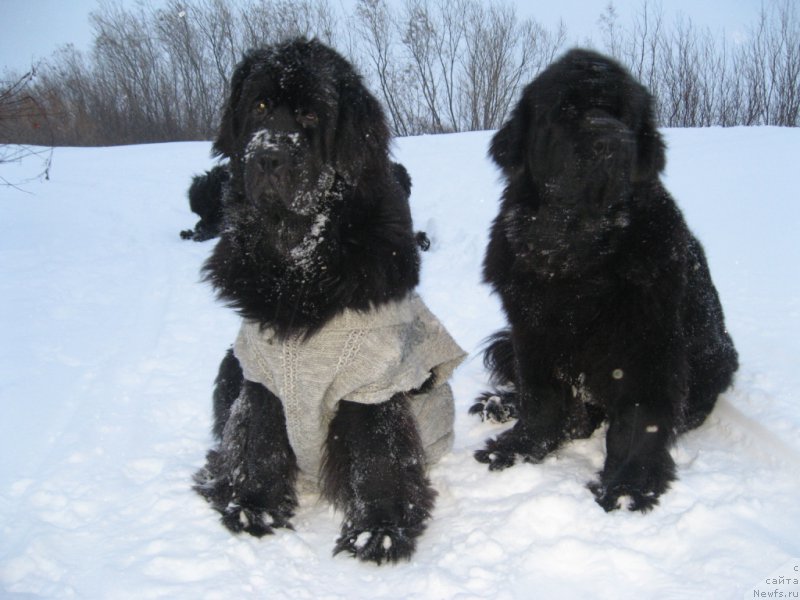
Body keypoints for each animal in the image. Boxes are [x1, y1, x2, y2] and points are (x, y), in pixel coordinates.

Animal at [191, 37, 466, 564]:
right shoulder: (261, 368)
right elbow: (256, 435)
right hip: (228, 362)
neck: (300, 263)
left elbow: (378, 457)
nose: (268, 156)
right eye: (259, 106)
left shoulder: (373, 380)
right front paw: (252, 504)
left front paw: (378, 529)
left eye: (311, 114)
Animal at [468, 49, 736, 512]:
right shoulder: (531, 331)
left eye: (625, 115)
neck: (577, 251)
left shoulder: (647, 345)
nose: (611, 140)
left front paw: (628, 485)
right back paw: (500, 402)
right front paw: (518, 447)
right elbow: (540, 398)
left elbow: (638, 422)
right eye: (565, 111)